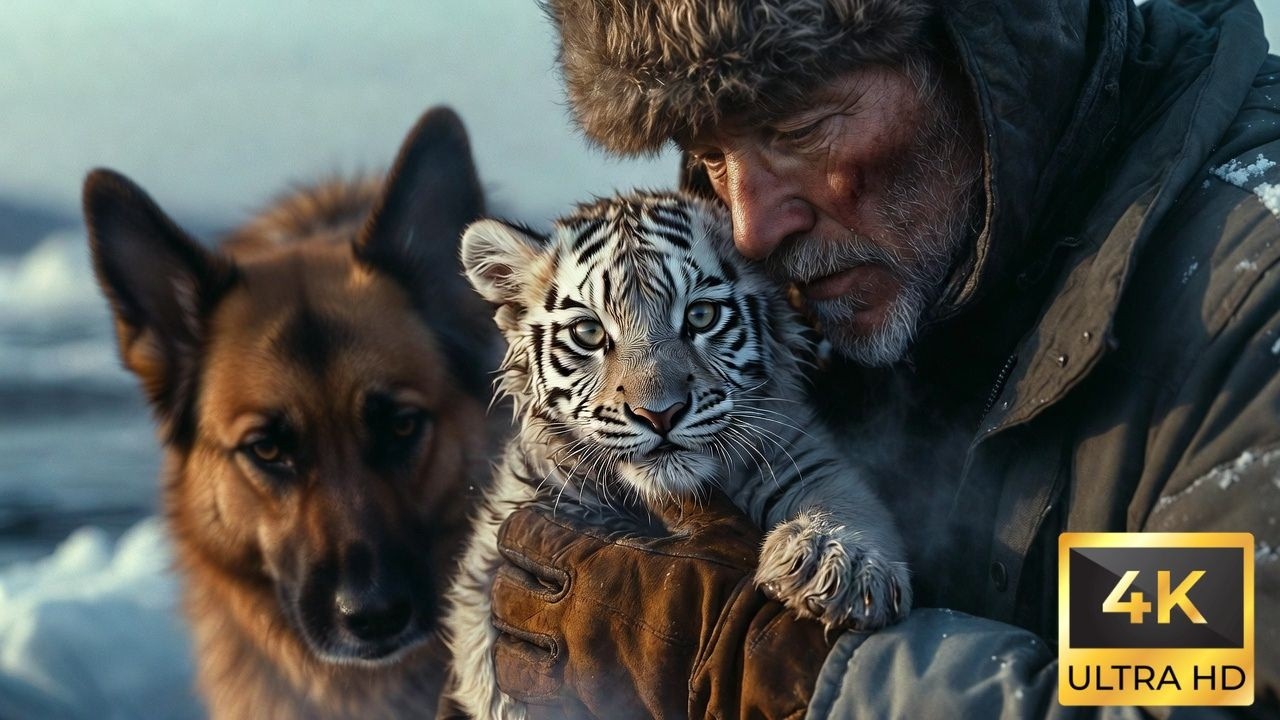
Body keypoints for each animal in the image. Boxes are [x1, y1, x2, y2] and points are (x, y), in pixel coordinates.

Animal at [444, 190, 911, 719]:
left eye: (701, 316)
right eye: (589, 333)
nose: (659, 413)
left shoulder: (801, 455)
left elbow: (839, 498)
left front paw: (836, 564)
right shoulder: (515, 524)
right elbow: (489, 649)